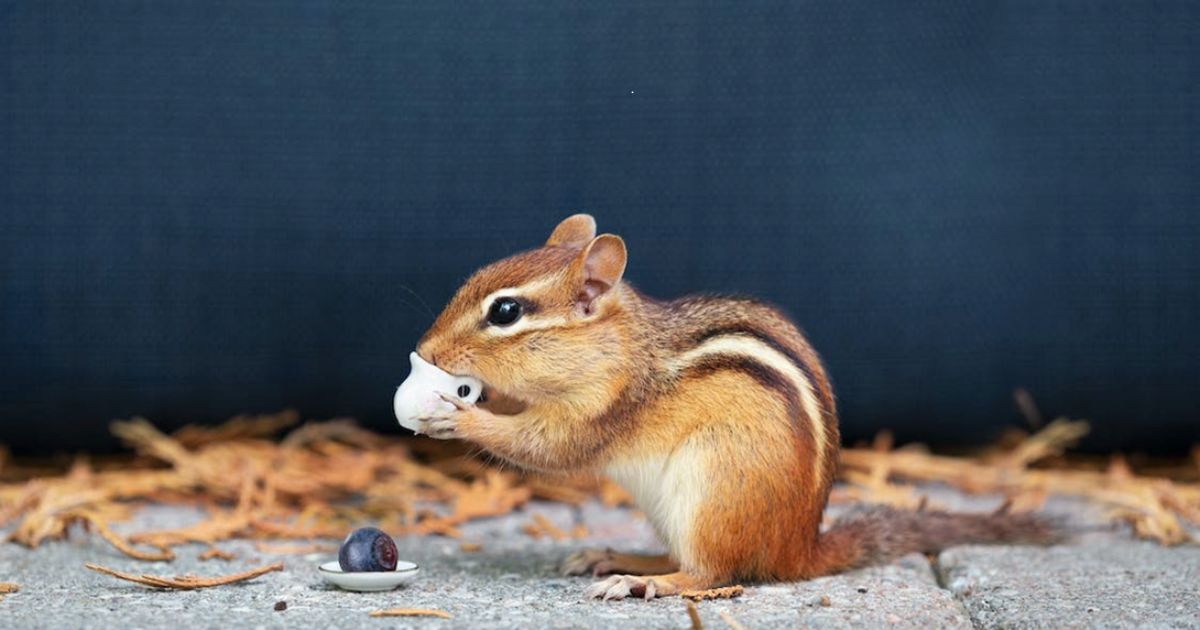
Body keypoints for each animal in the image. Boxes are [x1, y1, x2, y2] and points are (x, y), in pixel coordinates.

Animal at [413, 214, 1059, 600]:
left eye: (505, 312)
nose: (425, 351)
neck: (621, 346)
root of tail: (798, 550)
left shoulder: (605, 408)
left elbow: (548, 448)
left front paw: (459, 415)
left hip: (713, 485)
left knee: (711, 572)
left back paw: (644, 584)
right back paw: (617, 557)